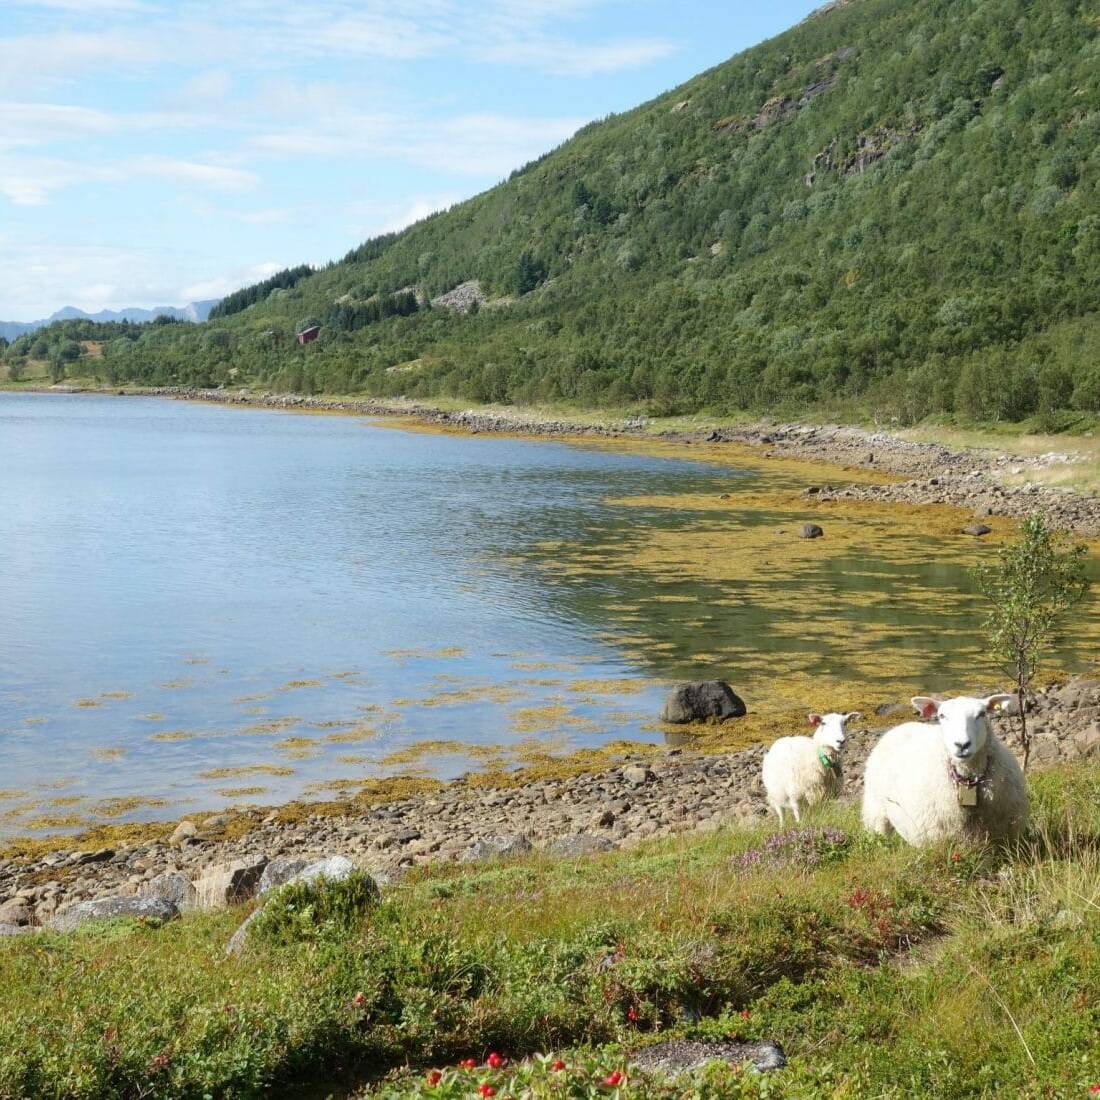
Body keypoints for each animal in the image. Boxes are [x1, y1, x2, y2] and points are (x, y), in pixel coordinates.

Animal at [861, 694, 1028, 847]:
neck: (968, 779)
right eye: (942, 715)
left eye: (982, 714)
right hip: (876, 812)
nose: (962, 745)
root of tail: (903, 725)